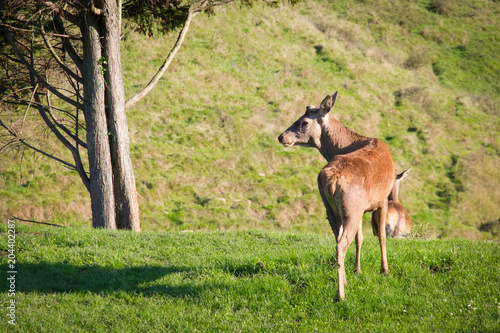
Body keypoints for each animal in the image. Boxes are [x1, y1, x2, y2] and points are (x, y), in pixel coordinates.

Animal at [278, 92, 394, 300]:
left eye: (304, 122)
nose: (281, 136)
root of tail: (332, 180)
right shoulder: (382, 199)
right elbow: (381, 235)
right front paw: (385, 270)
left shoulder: (365, 206)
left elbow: (360, 238)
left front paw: (357, 269)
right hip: (351, 207)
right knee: (341, 244)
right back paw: (341, 295)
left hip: (332, 208)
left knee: (338, 239)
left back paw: (345, 282)